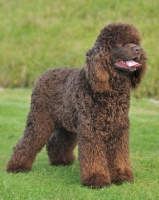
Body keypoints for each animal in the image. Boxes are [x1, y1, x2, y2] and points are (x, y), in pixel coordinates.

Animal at [7, 22, 147, 188]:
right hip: (39, 119)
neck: (111, 89)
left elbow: (120, 156)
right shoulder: (91, 129)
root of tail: (44, 74)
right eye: (119, 43)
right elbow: (94, 157)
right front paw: (96, 179)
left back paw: (61, 161)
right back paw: (16, 166)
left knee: (57, 141)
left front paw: (122, 176)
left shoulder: (119, 129)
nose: (138, 49)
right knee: (27, 142)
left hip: (66, 124)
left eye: (135, 42)